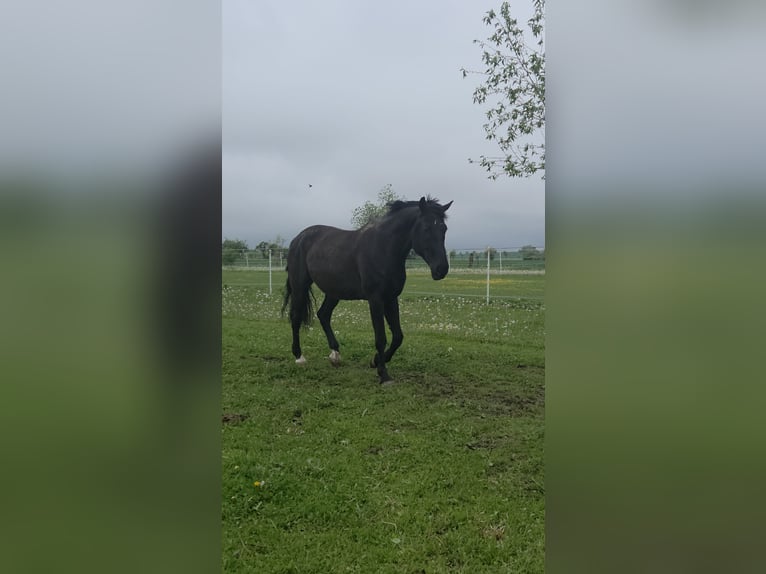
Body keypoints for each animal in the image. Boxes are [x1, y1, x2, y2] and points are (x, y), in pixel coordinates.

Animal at [282, 196, 453, 383]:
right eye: (426, 228)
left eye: (444, 228)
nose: (441, 269)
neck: (383, 248)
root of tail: (298, 239)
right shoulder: (375, 299)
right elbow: (381, 338)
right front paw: (384, 374)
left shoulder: (391, 298)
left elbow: (398, 336)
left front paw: (375, 361)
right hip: (300, 285)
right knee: (296, 317)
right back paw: (299, 356)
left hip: (334, 292)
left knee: (323, 315)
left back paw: (335, 355)